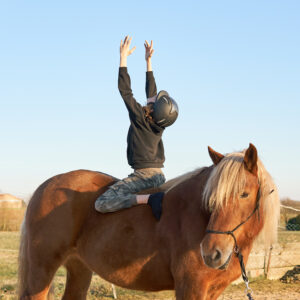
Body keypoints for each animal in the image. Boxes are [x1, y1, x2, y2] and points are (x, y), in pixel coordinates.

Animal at [17, 144, 278, 298]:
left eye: (244, 194)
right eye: (210, 197)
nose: (211, 252)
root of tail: (44, 186)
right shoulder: (190, 288)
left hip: (79, 269)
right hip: (42, 270)